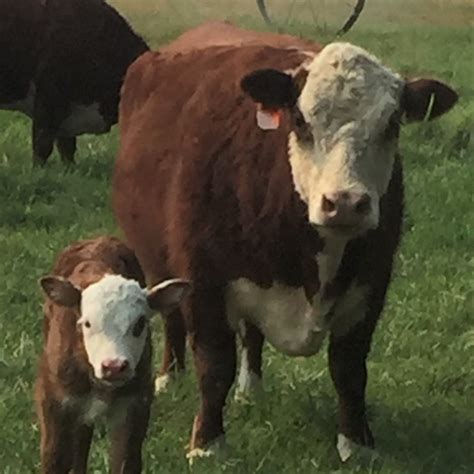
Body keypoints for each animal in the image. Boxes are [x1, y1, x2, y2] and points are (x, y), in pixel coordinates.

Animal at [35, 237, 191, 474]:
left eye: (140, 323)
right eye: (87, 323)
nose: (114, 366)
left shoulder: (135, 405)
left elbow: (125, 461)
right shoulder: (54, 400)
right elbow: (56, 459)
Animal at [113, 31, 458, 462]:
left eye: (392, 123)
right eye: (300, 120)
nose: (346, 202)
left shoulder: (370, 287)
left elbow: (349, 369)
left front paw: (356, 443)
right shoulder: (203, 280)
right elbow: (214, 364)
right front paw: (207, 443)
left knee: (252, 334)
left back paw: (251, 389)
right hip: (156, 261)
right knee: (174, 320)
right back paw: (170, 377)